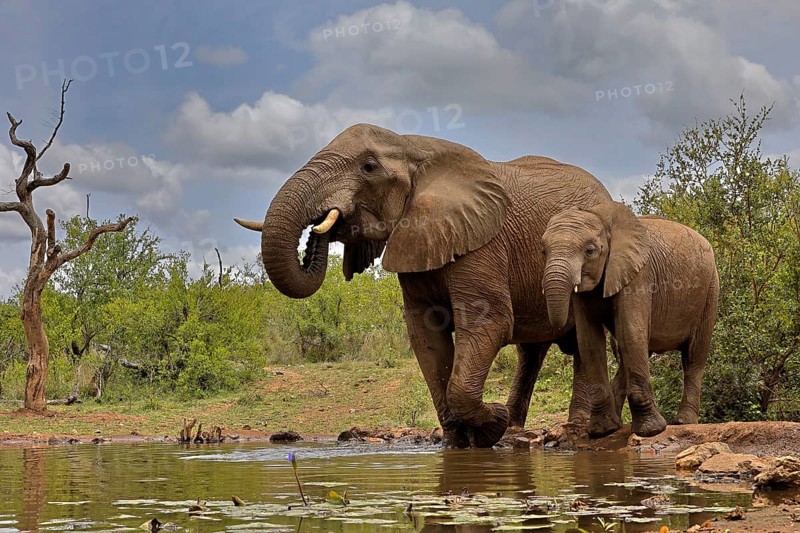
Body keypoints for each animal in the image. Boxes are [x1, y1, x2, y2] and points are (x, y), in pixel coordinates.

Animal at [234, 123, 613, 447]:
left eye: (368, 167)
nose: (318, 229)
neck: (412, 147)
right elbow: (426, 335)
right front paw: (460, 443)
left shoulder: (482, 243)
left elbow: (487, 322)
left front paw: (492, 425)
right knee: (531, 351)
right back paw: (517, 429)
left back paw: (573, 428)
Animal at [540, 200, 719, 437]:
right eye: (543, 251)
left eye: (590, 250)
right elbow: (589, 341)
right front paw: (602, 431)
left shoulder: (639, 274)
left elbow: (630, 331)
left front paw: (651, 431)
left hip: (710, 290)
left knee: (693, 356)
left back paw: (683, 422)